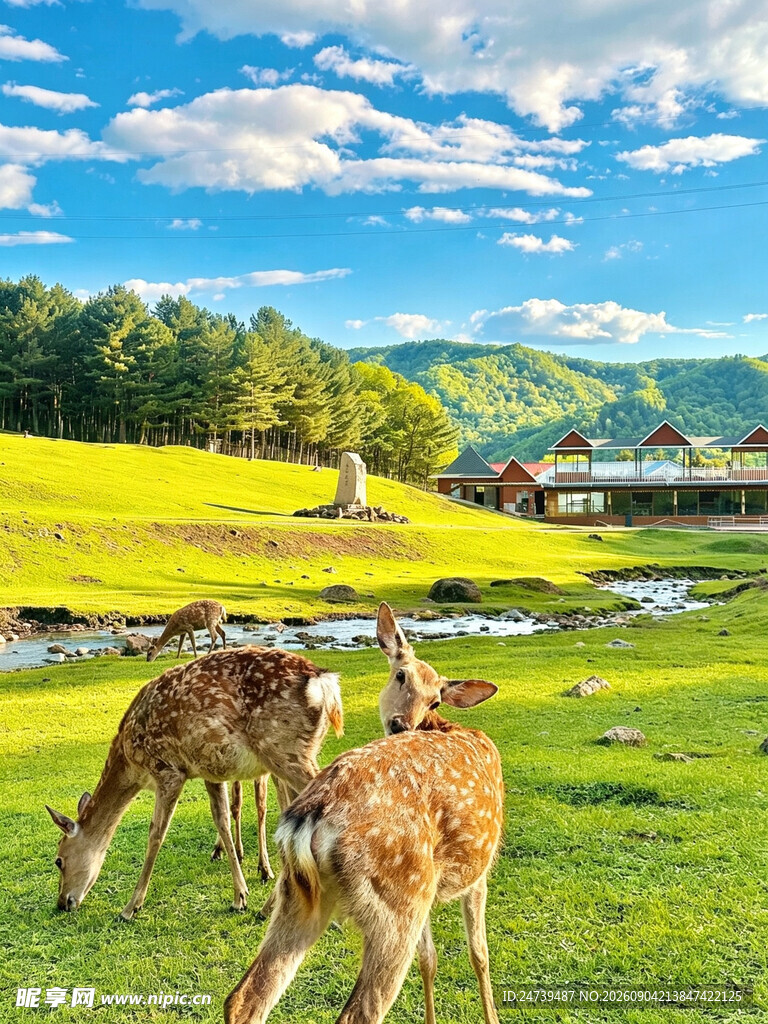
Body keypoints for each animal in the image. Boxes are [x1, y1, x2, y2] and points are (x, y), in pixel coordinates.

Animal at [45, 646, 343, 921]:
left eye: (58, 860)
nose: (62, 902)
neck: (132, 765)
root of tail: (323, 681)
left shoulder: (168, 770)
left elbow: (156, 834)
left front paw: (130, 907)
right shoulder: (210, 770)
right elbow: (221, 820)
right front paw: (240, 896)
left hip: (283, 749)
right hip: (295, 752)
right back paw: (270, 903)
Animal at [225, 602, 504, 1024]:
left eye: (435, 700)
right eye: (400, 674)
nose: (401, 724)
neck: (451, 727)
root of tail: (309, 819)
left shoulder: (436, 884)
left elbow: (431, 959)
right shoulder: (479, 871)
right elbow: (480, 955)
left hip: (304, 894)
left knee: (243, 998)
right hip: (398, 900)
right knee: (361, 1012)